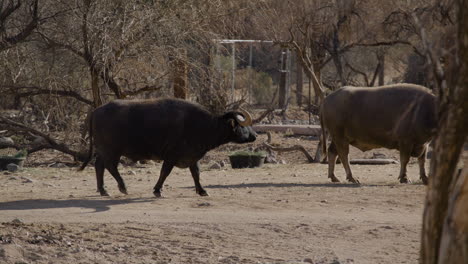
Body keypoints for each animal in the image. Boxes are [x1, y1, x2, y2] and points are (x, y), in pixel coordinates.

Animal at [79, 98, 258, 197]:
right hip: (112, 150)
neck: (201, 125)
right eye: (243, 126)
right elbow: (165, 172)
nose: (255, 135)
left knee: (99, 165)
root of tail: (96, 111)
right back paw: (123, 187)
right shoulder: (171, 156)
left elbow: (196, 174)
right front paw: (157, 190)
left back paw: (103, 190)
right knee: (110, 166)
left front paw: (202, 191)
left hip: (103, 150)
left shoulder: (192, 156)